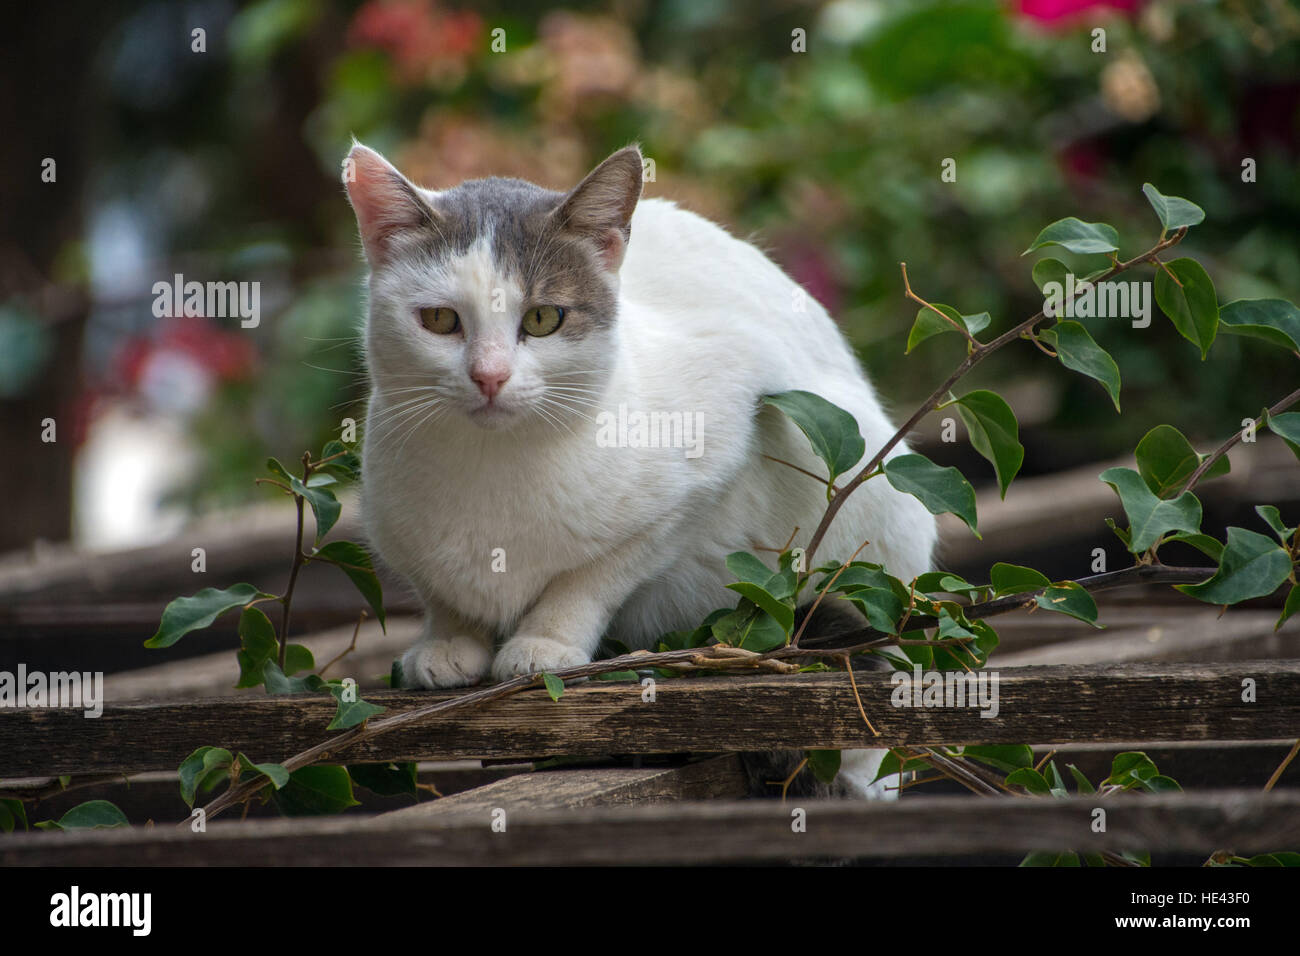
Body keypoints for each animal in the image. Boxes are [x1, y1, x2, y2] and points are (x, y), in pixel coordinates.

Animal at [343, 141, 935, 801]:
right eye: (441, 321)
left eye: (544, 318)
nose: (489, 376)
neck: (493, 464)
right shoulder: (395, 526)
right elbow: (443, 589)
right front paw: (448, 640)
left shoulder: (710, 459)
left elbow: (594, 576)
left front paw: (545, 642)